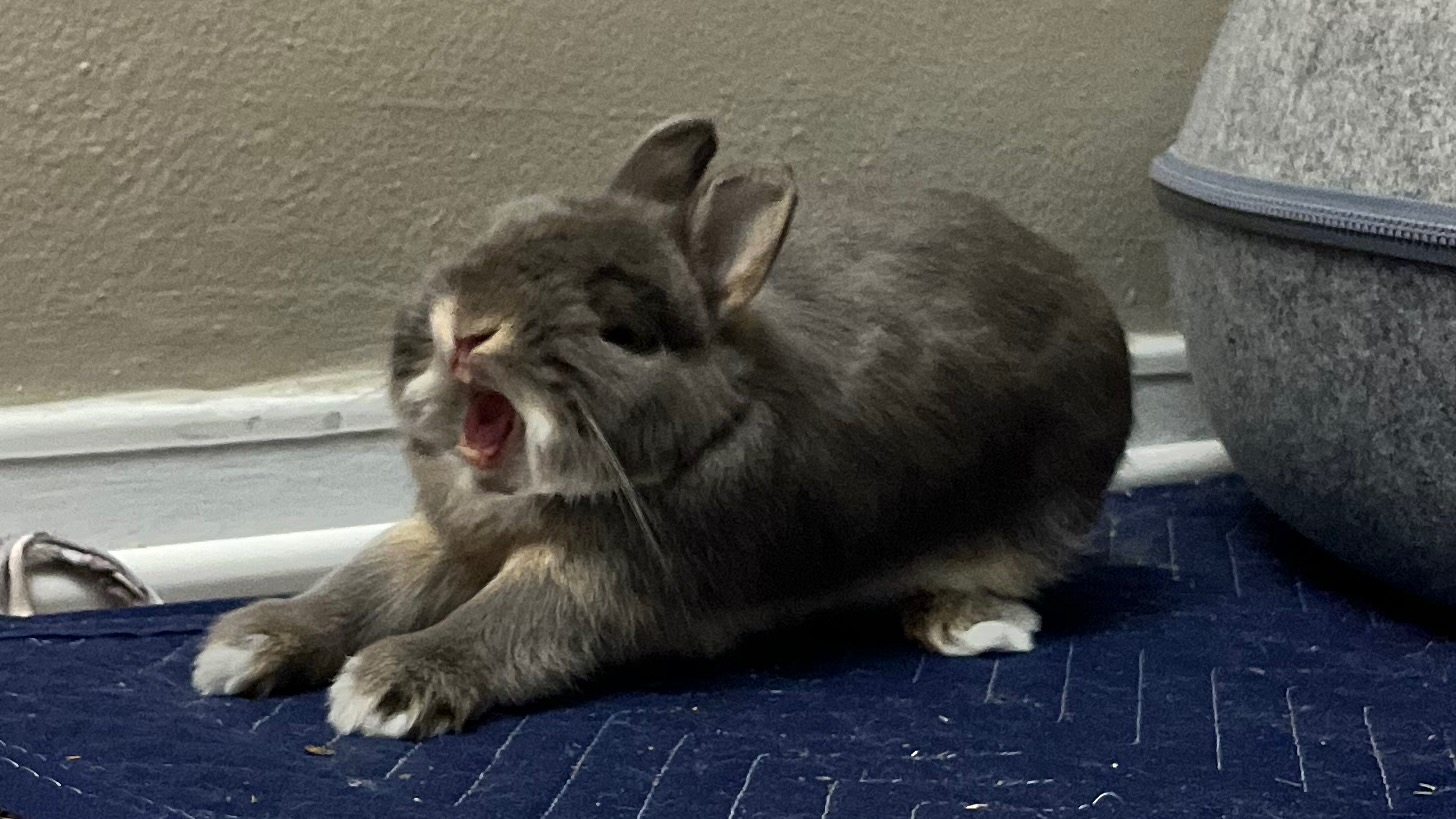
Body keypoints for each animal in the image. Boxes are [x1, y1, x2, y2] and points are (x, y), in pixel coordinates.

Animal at [191, 115, 1133, 739]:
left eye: (624, 333)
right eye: (500, 230)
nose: (470, 331)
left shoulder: (608, 576)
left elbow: (507, 621)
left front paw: (387, 687)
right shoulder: (444, 535)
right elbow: (367, 583)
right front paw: (248, 642)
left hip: (1022, 525)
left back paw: (969, 622)